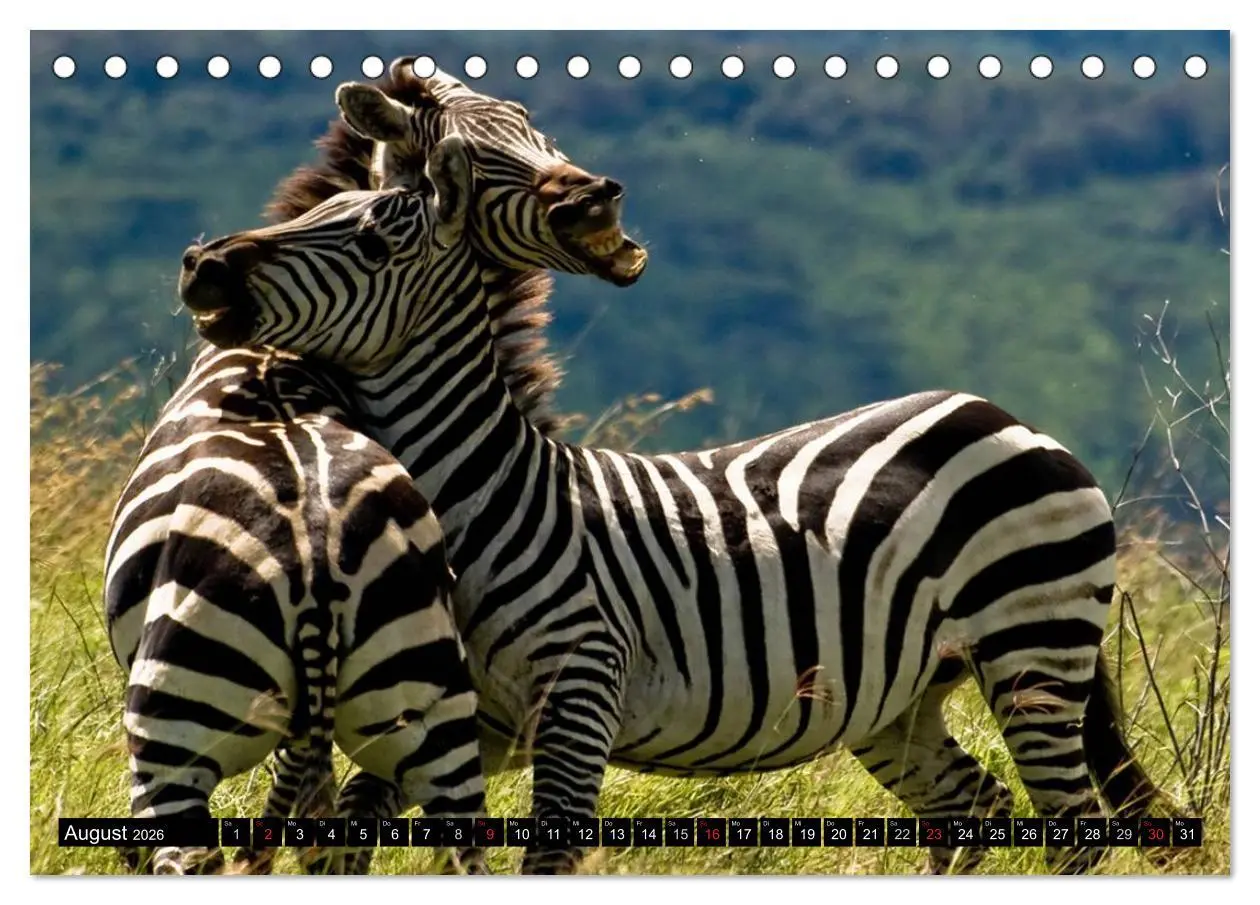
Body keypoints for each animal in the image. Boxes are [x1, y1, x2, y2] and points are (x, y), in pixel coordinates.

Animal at [179, 62, 1178, 875]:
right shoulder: (465, 717)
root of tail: (1004, 415)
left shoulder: (580, 689)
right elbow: (349, 827)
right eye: (315, 218)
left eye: (371, 240)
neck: (484, 494)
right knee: (973, 806)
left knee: (1073, 829)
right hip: (906, 694)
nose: (202, 263)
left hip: (1032, 647)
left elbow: (545, 855)